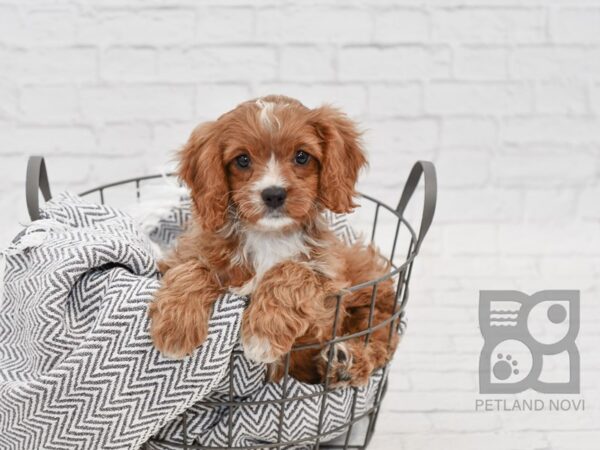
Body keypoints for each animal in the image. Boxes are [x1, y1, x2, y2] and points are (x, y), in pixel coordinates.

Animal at [147, 96, 398, 386]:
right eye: (242, 160)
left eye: (302, 156)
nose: (274, 194)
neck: (269, 236)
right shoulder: (186, 253)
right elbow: (193, 267)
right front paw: (175, 327)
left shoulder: (325, 304)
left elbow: (293, 270)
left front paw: (262, 335)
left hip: (371, 291)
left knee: (382, 334)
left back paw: (346, 361)